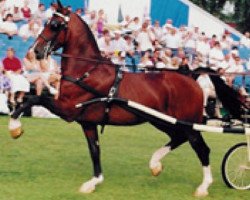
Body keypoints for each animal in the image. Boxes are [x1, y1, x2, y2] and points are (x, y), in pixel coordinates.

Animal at [8, 0, 246, 197]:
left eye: (56, 25)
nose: (35, 51)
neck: (86, 71)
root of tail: (190, 76)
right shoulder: (87, 122)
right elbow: (94, 150)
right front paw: (94, 182)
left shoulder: (67, 109)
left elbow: (33, 99)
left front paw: (14, 127)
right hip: (162, 120)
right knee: (178, 138)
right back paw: (155, 164)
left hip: (186, 123)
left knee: (201, 148)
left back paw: (203, 186)